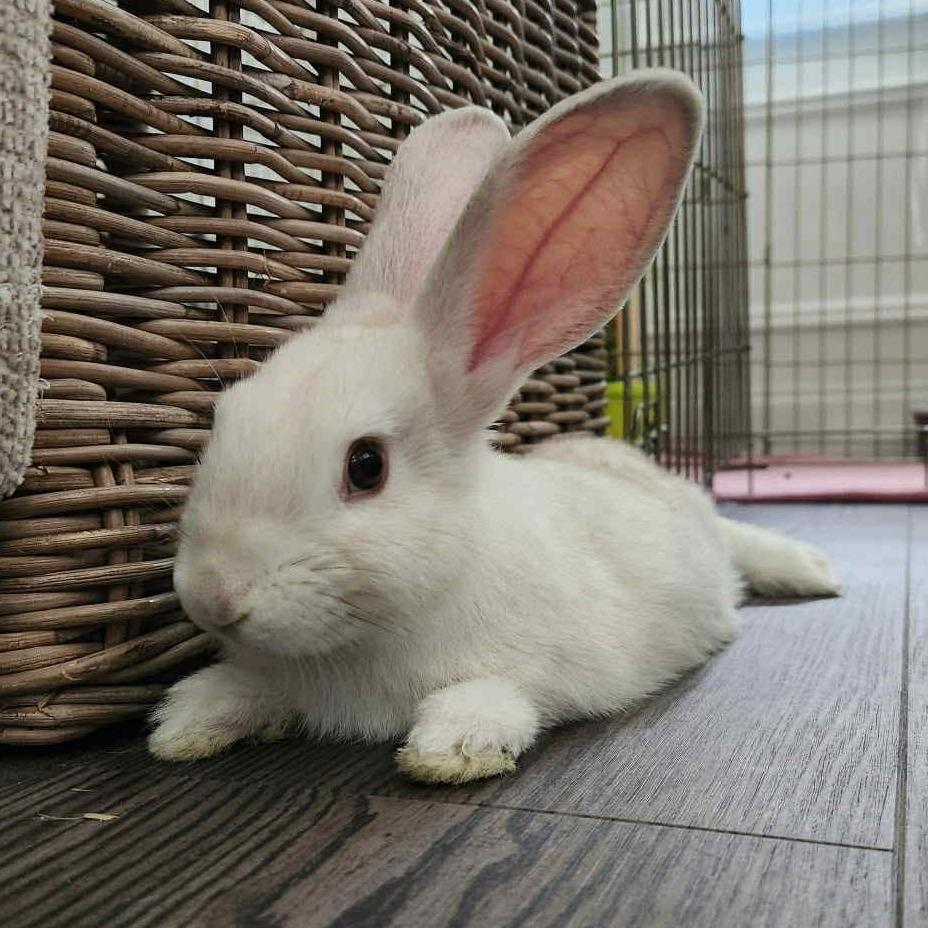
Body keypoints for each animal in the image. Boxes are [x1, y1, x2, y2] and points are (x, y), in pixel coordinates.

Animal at [148, 69, 841, 784]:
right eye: (225, 415)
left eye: (366, 465)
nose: (211, 596)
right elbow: (244, 687)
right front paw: (186, 724)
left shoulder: (542, 666)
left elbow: (491, 697)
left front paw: (450, 752)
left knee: (738, 540)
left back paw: (811, 570)